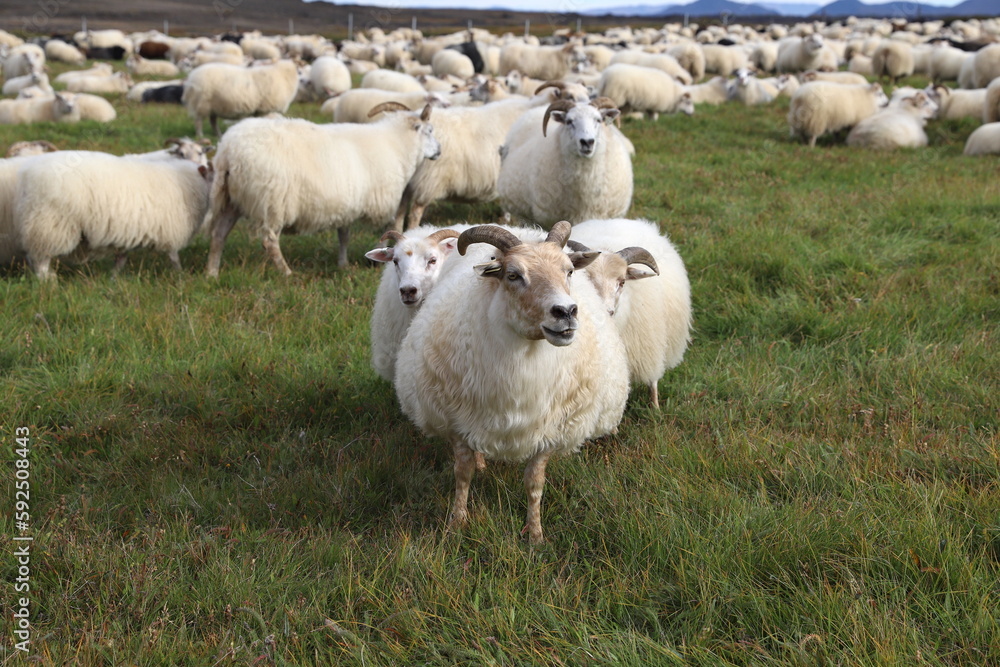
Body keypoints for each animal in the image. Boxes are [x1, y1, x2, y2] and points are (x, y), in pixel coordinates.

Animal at [14, 142, 212, 280]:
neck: (191, 183)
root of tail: (28, 175)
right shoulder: (169, 229)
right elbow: (174, 257)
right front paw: (180, 275)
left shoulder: (131, 231)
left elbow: (121, 259)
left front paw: (113, 278)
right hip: (50, 223)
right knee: (41, 258)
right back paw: (47, 282)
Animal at [203, 104, 441, 277]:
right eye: (429, 130)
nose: (439, 151)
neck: (397, 145)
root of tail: (228, 151)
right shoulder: (381, 202)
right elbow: (388, 229)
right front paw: (380, 261)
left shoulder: (348, 204)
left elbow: (343, 236)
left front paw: (343, 264)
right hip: (272, 201)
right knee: (269, 241)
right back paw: (286, 273)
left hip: (230, 200)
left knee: (218, 235)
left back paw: (212, 272)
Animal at [394, 222, 629, 544]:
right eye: (513, 275)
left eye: (569, 271)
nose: (566, 312)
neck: (524, 359)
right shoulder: (456, 422)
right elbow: (462, 474)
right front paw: (456, 524)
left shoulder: (548, 432)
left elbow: (534, 483)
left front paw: (535, 535)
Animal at [568, 218, 692, 409]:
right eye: (588, 279)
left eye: (622, 282)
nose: (608, 311)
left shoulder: (648, 344)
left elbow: (653, 381)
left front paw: (655, 408)